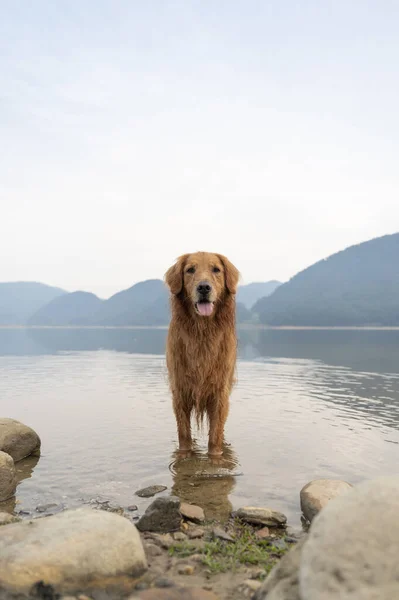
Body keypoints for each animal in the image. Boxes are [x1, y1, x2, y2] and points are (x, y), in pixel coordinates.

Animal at [164, 252, 239, 454]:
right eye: (190, 270)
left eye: (216, 269)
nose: (204, 287)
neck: (202, 333)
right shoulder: (180, 391)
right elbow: (184, 436)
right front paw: (185, 455)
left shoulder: (219, 393)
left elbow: (215, 437)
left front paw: (215, 456)